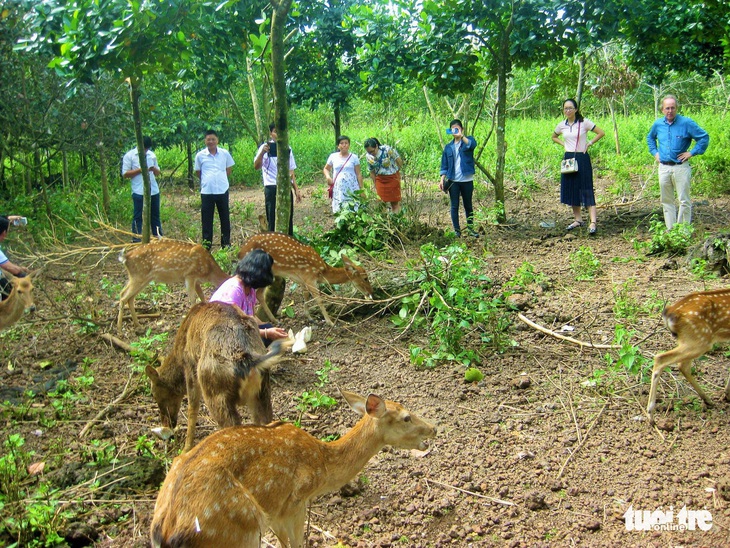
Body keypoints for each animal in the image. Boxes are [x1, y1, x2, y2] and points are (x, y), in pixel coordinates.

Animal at [144, 302, 292, 452]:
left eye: (155, 394)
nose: (167, 424)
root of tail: (248, 360)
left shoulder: (190, 368)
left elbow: (192, 408)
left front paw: (186, 448)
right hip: (263, 391)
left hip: (215, 392)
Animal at [148, 388, 432, 544]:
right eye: (406, 417)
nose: (434, 428)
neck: (322, 465)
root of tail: (168, 528)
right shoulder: (294, 502)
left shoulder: (274, 510)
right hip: (238, 531)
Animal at [239, 231, 372, 326]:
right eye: (365, 278)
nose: (371, 292)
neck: (322, 271)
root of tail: (240, 251)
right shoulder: (310, 278)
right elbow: (319, 299)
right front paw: (330, 322)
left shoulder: (303, 280)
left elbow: (306, 296)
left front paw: (310, 317)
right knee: (255, 293)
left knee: (258, 294)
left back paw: (273, 320)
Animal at [644, 288, 728, 426]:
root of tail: (670, 312)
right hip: (699, 340)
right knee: (661, 359)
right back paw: (651, 416)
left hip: (689, 340)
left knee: (682, 366)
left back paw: (708, 400)